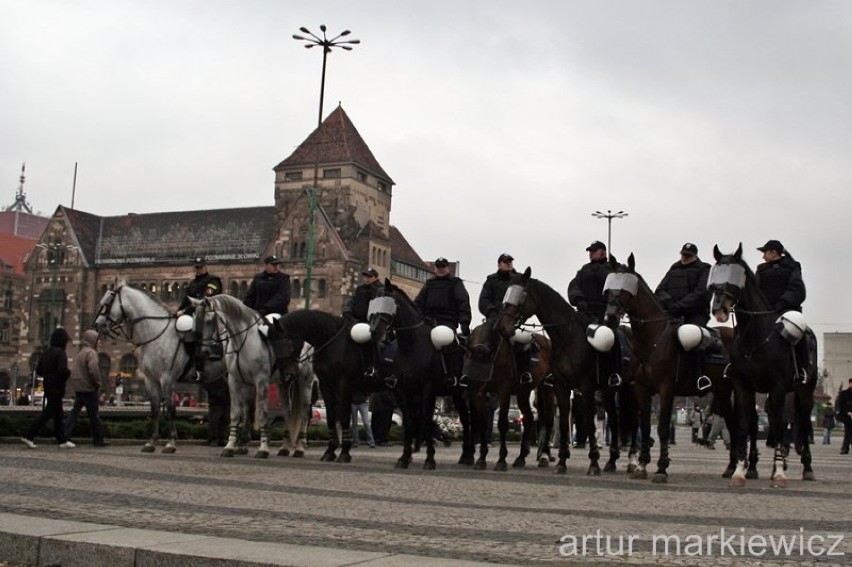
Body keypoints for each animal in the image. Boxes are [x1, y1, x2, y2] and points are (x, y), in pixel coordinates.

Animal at [94, 282, 226, 454]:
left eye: (108, 302)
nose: (97, 324)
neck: (156, 334)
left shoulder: (167, 379)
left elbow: (170, 409)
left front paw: (171, 442)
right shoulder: (151, 379)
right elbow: (155, 409)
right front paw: (152, 441)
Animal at [368, 280, 472, 470]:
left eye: (388, 302)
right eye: (373, 302)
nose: (374, 331)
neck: (412, 347)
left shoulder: (427, 390)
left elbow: (426, 420)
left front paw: (429, 459)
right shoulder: (404, 392)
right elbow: (409, 421)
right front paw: (404, 457)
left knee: (468, 420)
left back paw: (469, 456)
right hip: (456, 395)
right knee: (464, 418)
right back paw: (464, 456)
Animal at [704, 244, 820, 488]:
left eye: (735, 278)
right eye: (714, 277)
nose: (719, 309)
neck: (756, 338)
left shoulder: (777, 388)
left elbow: (779, 426)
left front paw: (779, 473)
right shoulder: (743, 387)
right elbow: (743, 424)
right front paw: (740, 471)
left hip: (804, 391)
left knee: (803, 422)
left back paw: (806, 467)